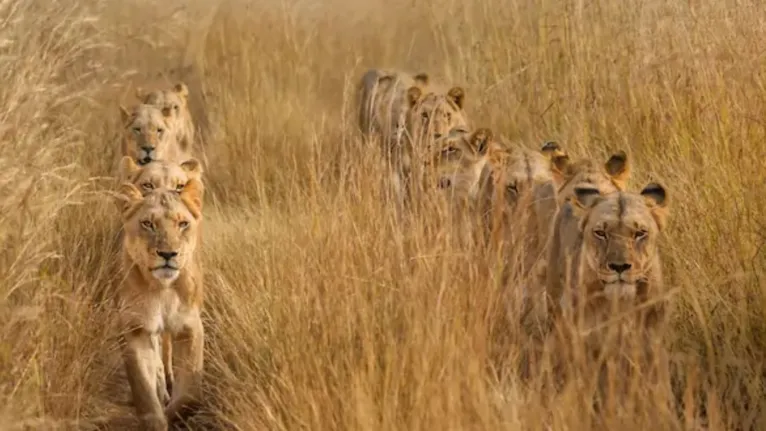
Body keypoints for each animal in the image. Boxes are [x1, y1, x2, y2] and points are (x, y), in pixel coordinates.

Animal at [112, 180, 206, 431]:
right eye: (148, 224)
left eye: (183, 224)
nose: (168, 254)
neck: (163, 289)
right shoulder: (136, 328)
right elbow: (144, 388)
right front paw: (157, 419)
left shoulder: (190, 327)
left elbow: (190, 395)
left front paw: (172, 414)